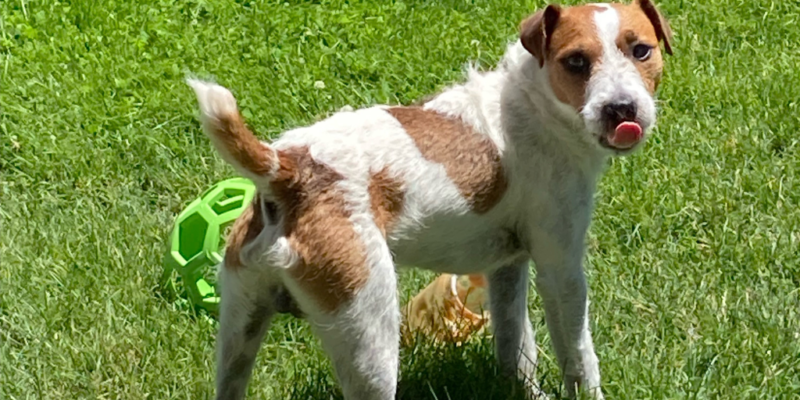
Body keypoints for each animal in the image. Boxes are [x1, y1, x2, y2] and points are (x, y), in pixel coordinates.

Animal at [189, 1, 676, 398]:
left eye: (641, 51)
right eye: (576, 61)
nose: (622, 110)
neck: (534, 103)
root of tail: (288, 168)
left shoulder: (507, 266)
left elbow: (516, 345)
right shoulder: (561, 267)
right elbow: (578, 355)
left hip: (239, 326)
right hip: (368, 332)